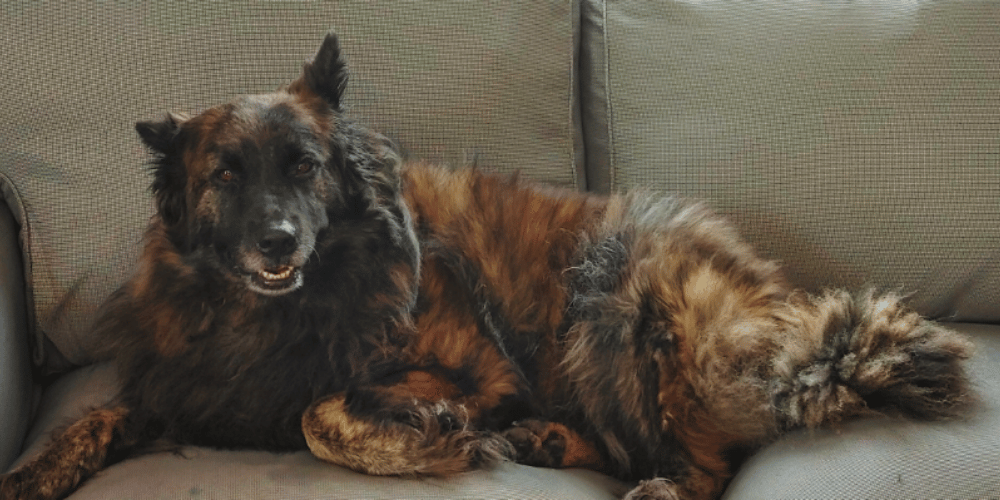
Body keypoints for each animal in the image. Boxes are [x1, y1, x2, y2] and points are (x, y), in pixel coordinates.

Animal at [0, 33, 974, 500]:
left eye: (305, 167)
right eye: (224, 176)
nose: (277, 241)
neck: (278, 313)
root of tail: (782, 308)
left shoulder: (482, 373)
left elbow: (320, 413)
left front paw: (421, 439)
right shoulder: (192, 383)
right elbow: (95, 418)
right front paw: (31, 472)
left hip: (613, 299)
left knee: (706, 463)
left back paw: (649, 483)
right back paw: (548, 442)